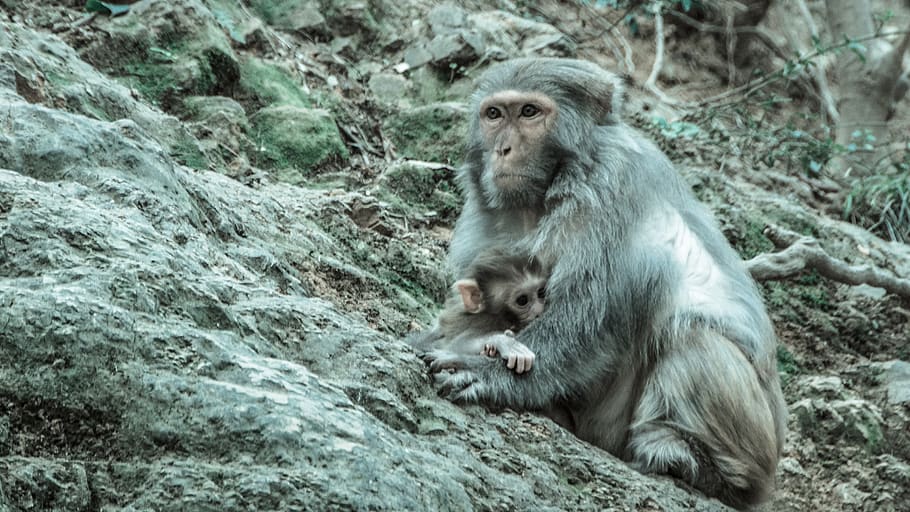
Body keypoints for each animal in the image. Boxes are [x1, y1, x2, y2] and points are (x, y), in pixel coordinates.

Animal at [410, 247, 547, 375]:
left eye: (541, 293)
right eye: (522, 300)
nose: (539, 311)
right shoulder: (484, 321)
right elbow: (455, 344)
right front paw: (502, 341)